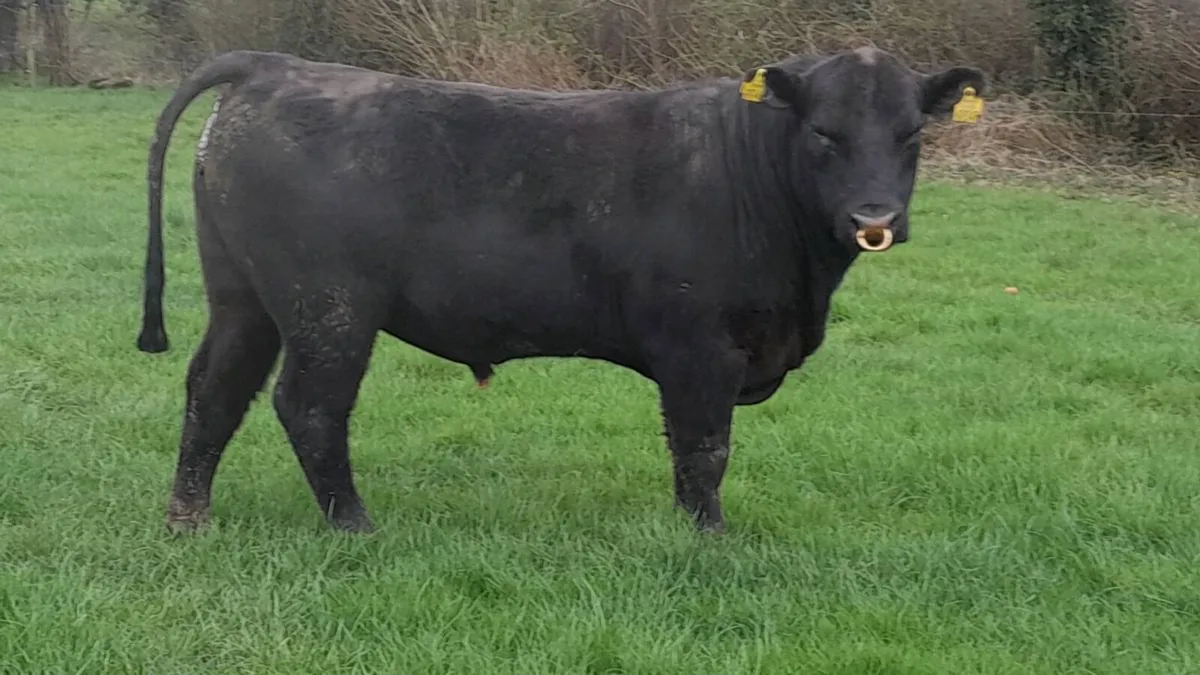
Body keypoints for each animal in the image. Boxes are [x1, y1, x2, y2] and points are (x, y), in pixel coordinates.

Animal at [136, 47, 985, 535]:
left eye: (912, 133)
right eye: (822, 132)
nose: (874, 219)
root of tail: (276, 68)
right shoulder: (699, 348)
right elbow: (704, 449)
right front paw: (708, 538)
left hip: (244, 299)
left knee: (214, 391)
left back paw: (188, 517)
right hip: (329, 308)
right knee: (308, 406)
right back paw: (354, 525)